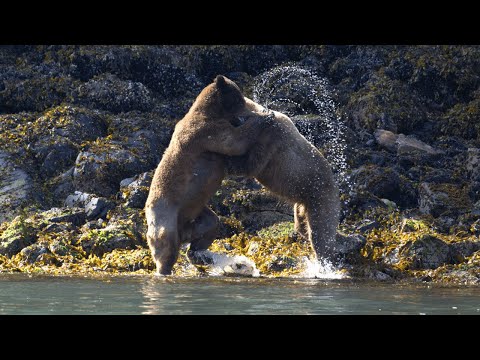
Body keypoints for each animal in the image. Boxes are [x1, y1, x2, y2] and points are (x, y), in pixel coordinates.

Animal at [144, 74, 272, 274]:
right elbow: (234, 141)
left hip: (196, 210)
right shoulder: (205, 132)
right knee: (166, 244)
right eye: (239, 98)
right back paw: (165, 269)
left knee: (211, 225)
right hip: (166, 214)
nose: (249, 109)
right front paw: (266, 116)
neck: (211, 112)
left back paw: (198, 254)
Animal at [229, 97, 342, 262]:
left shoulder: (270, 140)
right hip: (304, 201)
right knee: (301, 220)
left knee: (320, 231)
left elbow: (252, 165)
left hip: (320, 196)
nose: (237, 120)